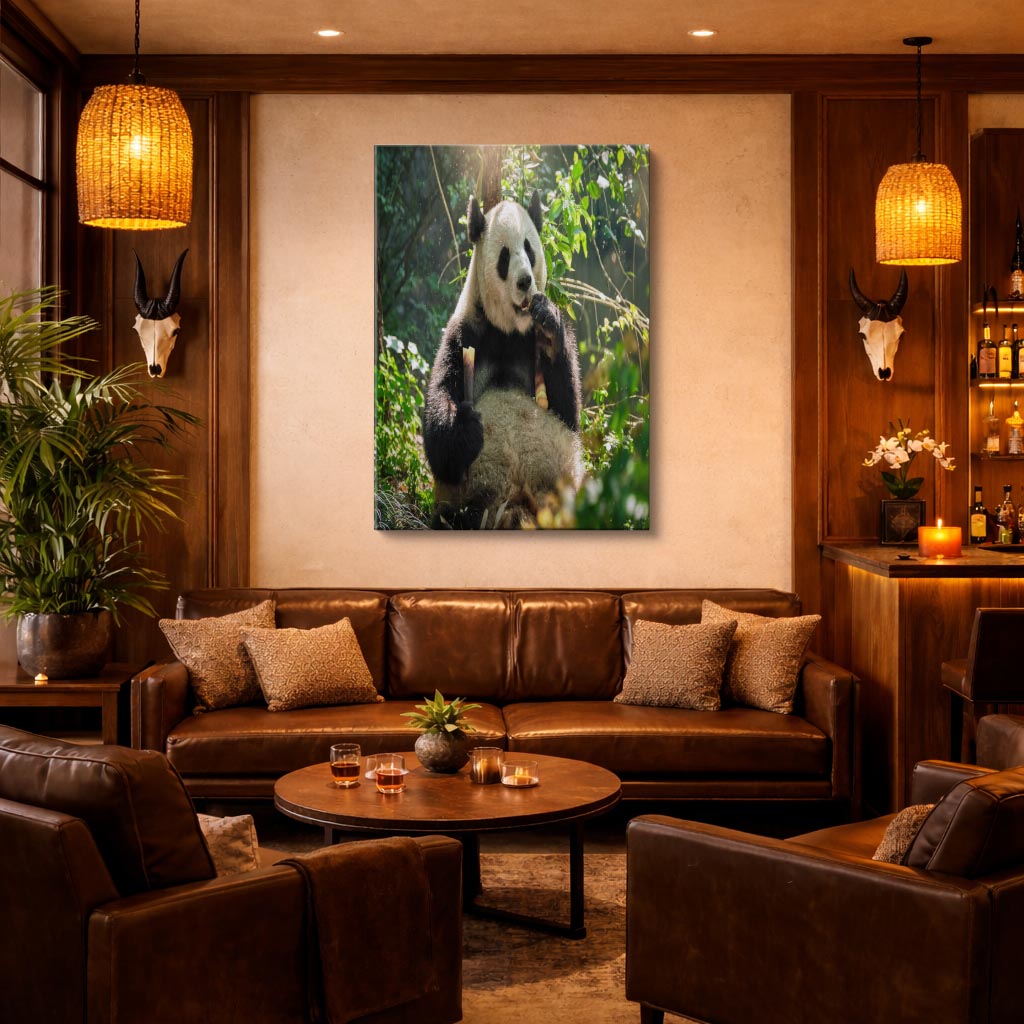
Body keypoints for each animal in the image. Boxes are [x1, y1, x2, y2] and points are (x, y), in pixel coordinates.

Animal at [423, 191, 583, 529]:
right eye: (505, 257)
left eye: (529, 249)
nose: (524, 282)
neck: (509, 329)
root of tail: (518, 505)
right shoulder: (465, 335)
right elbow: (437, 435)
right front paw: (467, 428)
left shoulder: (532, 342)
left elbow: (567, 410)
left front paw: (549, 325)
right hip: (470, 502)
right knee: (458, 517)